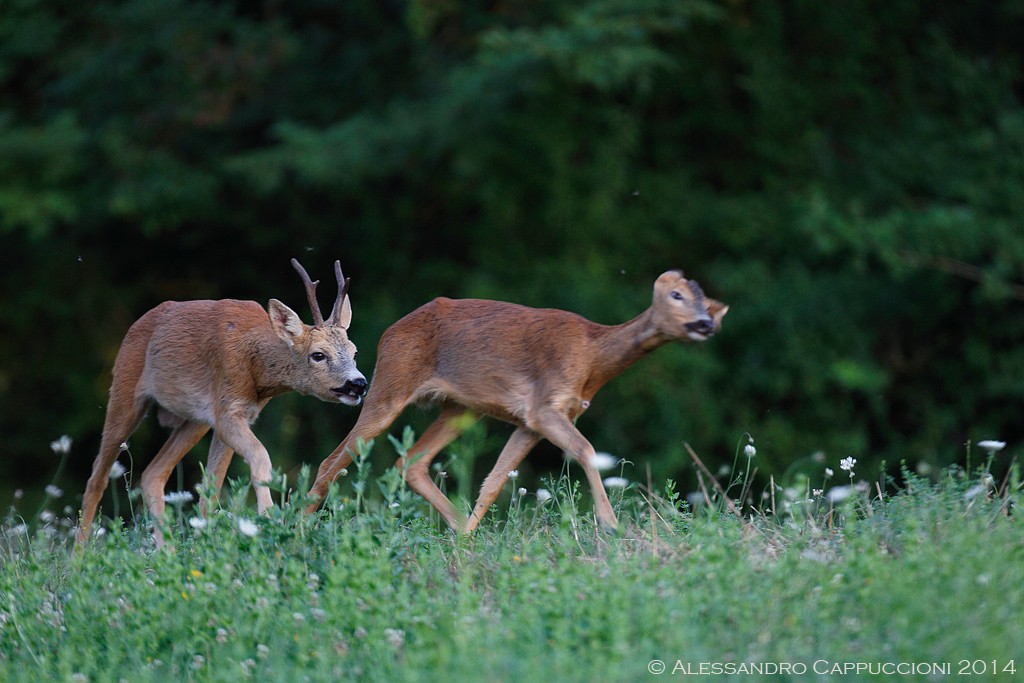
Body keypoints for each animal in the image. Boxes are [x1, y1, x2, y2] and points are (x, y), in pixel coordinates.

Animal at [79, 259, 368, 548]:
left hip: (196, 420)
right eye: (318, 355)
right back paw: (79, 555)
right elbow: (260, 457)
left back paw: (166, 551)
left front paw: (203, 546)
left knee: (152, 473)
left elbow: (212, 486)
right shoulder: (228, 410)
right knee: (97, 476)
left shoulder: (235, 415)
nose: (358, 383)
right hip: (125, 389)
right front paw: (270, 522)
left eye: (354, 352)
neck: (256, 369)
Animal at [303, 270, 729, 532]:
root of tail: (387, 334)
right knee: (330, 462)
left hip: (460, 408)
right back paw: (298, 531)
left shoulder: (529, 422)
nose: (707, 325)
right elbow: (588, 451)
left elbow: (493, 481)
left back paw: (460, 531)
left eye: (707, 304)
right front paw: (610, 524)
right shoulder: (544, 406)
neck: (593, 359)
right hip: (389, 385)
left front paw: (471, 539)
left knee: (410, 461)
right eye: (676, 295)